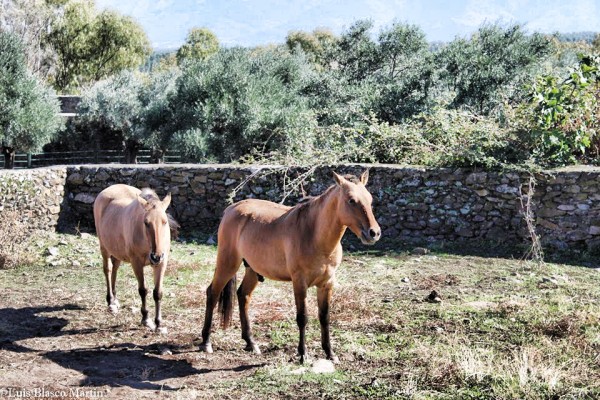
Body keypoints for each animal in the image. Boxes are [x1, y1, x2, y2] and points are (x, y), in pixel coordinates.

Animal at [91, 184, 176, 332]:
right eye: (146, 223)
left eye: (165, 222)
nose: (156, 256)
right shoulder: (136, 263)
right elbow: (143, 290)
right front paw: (146, 319)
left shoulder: (162, 264)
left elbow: (157, 293)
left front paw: (159, 323)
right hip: (104, 247)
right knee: (108, 270)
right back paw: (110, 302)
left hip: (117, 251)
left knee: (115, 269)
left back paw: (115, 299)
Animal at [199, 170, 382, 364]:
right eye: (351, 200)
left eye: (370, 199)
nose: (374, 233)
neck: (313, 233)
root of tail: (231, 209)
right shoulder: (299, 282)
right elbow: (302, 318)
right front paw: (302, 354)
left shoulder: (326, 284)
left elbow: (324, 317)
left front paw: (330, 353)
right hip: (228, 263)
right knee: (213, 293)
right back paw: (206, 342)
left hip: (252, 270)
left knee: (243, 295)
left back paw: (251, 342)